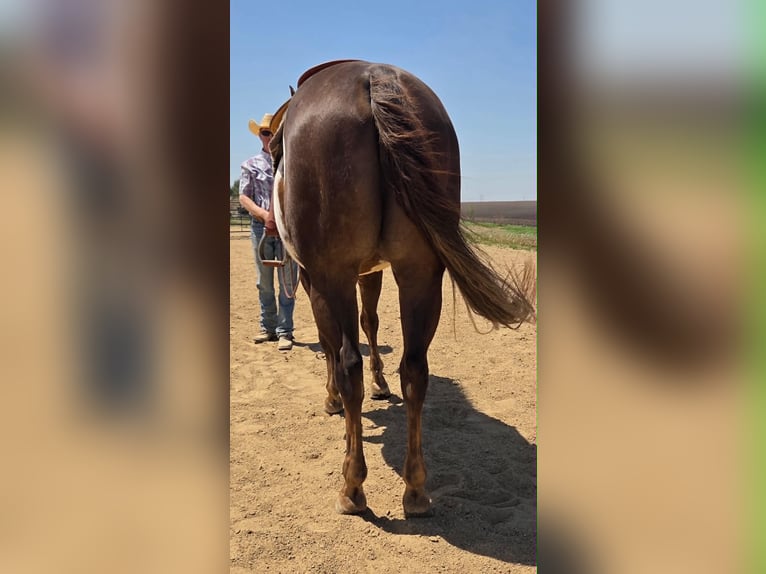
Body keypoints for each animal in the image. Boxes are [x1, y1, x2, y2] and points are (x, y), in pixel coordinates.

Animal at [269, 60, 535, 516]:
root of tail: (372, 77)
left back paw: (352, 487)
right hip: (420, 273)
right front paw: (381, 384)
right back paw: (415, 490)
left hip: (335, 275)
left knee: (348, 363)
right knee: (414, 368)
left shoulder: (316, 277)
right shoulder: (372, 270)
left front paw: (332, 400)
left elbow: (332, 344)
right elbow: (372, 321)